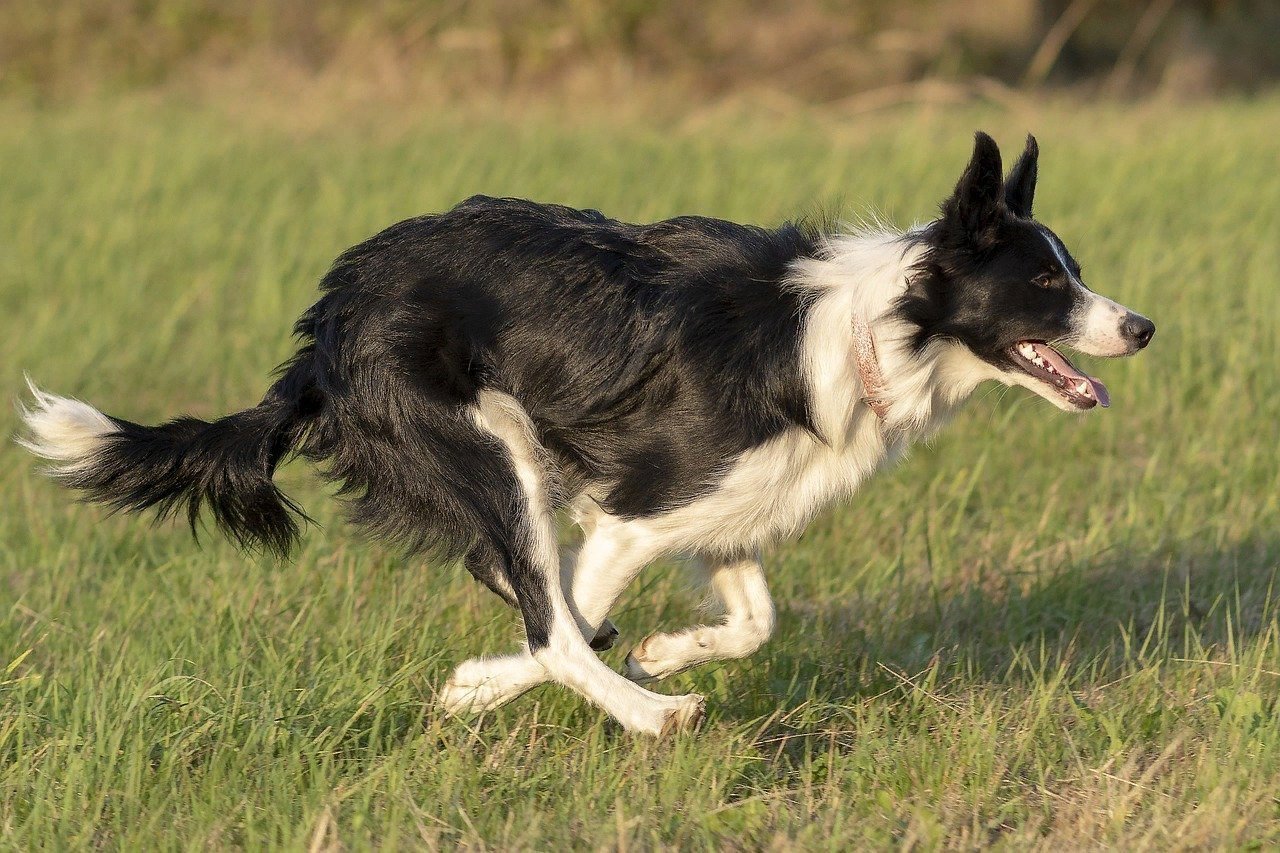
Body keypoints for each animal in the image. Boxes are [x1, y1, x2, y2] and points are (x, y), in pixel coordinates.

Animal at [15, 131, 1157, 732]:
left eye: (1075, 270)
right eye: (1044, 282)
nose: (1141, 327)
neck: (875, 329)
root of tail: (325, 327)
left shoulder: (720, 508)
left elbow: (752, 619)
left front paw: (666, 647)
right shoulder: (635, 509)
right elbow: (566, 622)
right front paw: (488, 685)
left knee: (525, 586)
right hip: (494, 452)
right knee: (550, 615)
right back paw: (647, 716)